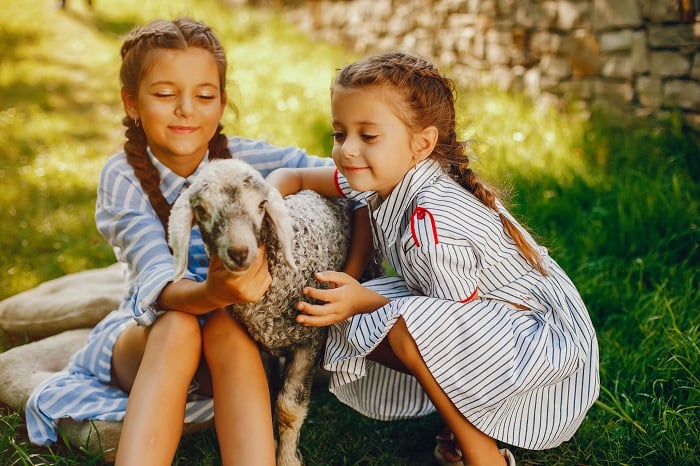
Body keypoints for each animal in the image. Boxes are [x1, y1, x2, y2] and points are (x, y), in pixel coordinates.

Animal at [169, 158, 352, 464]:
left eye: (261, 204)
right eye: (202, 209)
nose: (240, 252)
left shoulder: (309, 340)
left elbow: (289, 408)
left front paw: (287, 459)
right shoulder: (260, 344)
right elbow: (266, 399)